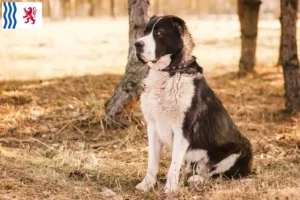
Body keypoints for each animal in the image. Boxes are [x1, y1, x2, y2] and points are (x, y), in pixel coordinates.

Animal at [135, 15, 252, 192]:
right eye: (145, 31)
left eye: (159, 33)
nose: (137, 44)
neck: (170, 72)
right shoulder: (153, 126)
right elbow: (152, 161)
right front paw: (147, 184)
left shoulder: (182, 129)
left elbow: (173, 164)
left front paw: (170, 189)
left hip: (240, 151)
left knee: (215, 174)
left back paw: (197, 180)